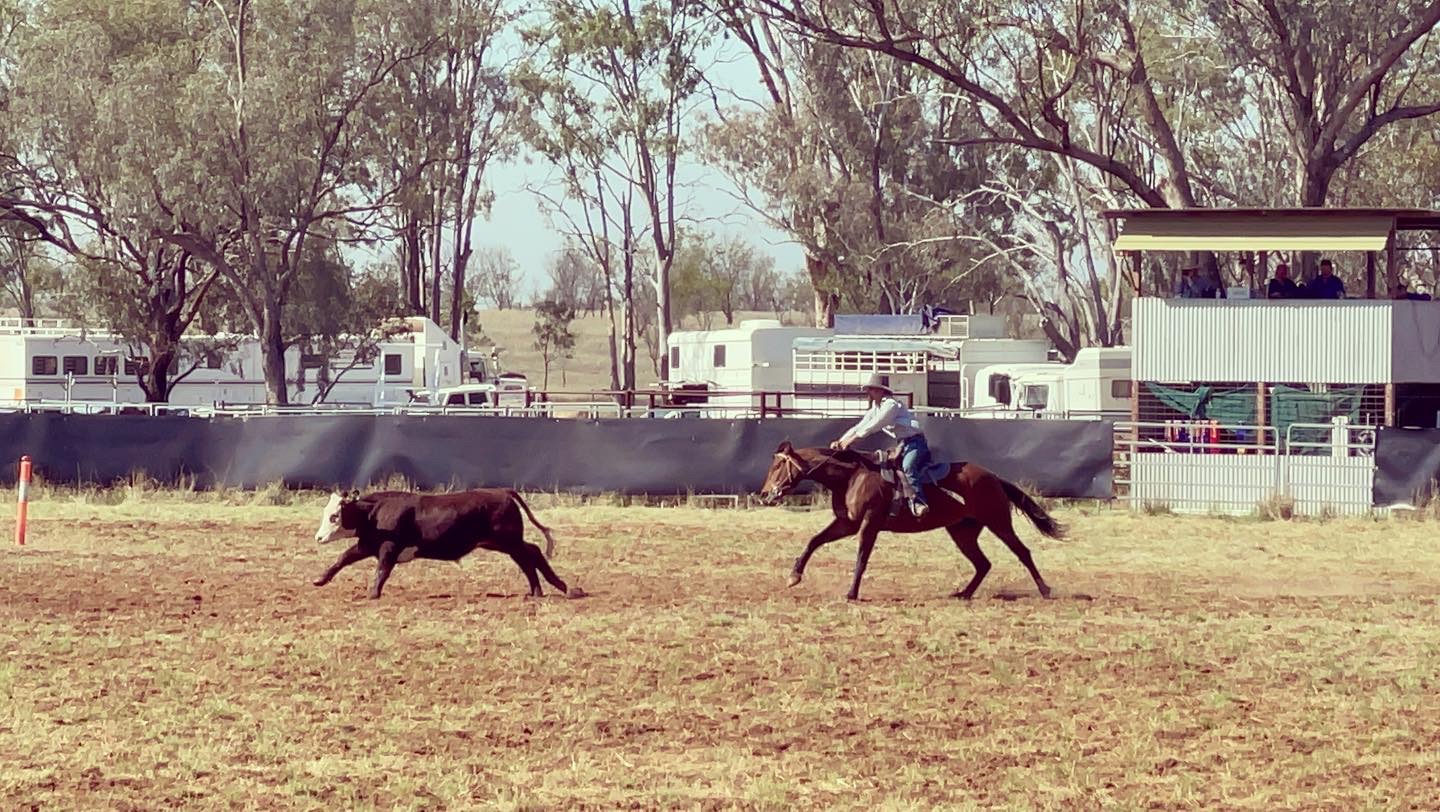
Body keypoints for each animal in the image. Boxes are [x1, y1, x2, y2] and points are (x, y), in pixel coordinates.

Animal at [311, 488, 575, 600]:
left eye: (334, 516)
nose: (319, 538)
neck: (376, 512)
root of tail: (502, 492)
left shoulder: (388, 548)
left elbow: (382, 570)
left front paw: (372, 593)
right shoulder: (367, 544)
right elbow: (343, 559)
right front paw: (319, 580)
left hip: (508, 541)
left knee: (531, 555)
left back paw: (556, 589)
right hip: (500, 542)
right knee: (531, 554)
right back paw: (545, 590)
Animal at [758, 441, 1064, 601]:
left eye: (778, 465)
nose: (764, 494)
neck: (853, 476)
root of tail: (993, 477)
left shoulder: (869, 523)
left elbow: (861, 557)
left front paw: (852, 593)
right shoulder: (848, 524)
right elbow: (814, 541)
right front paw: (794, 576)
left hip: (998, 522)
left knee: (1022, 552)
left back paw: (1045, 589)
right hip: (962, 532)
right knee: (983, 564)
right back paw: (963, 593)